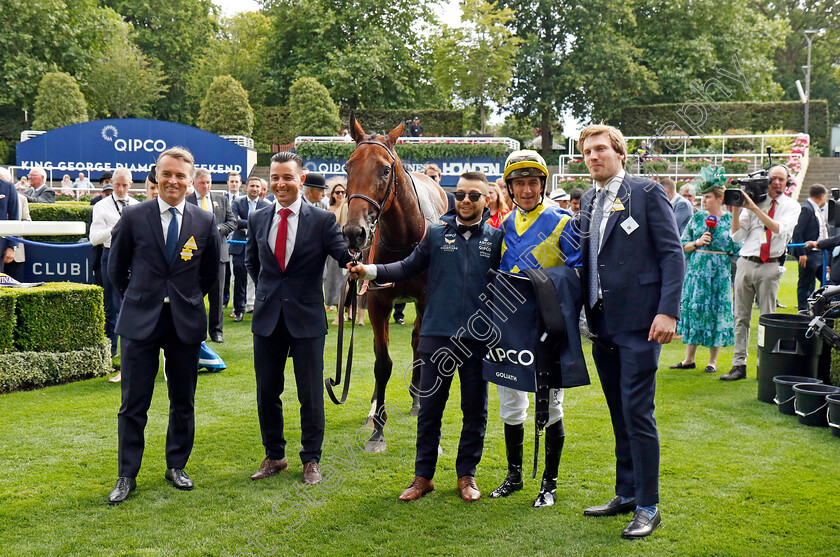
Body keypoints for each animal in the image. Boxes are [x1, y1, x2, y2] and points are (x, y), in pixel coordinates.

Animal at [342, 117, 450, 452]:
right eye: (348, 166)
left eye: (385, 169)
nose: (354, 232)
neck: (404, 240)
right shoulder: (377, 302)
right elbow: (382, 362)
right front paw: (378, 428)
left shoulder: (426, 301)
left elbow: (421, 348)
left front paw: (420, 404)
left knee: (417, 343)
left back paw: (416, 398)